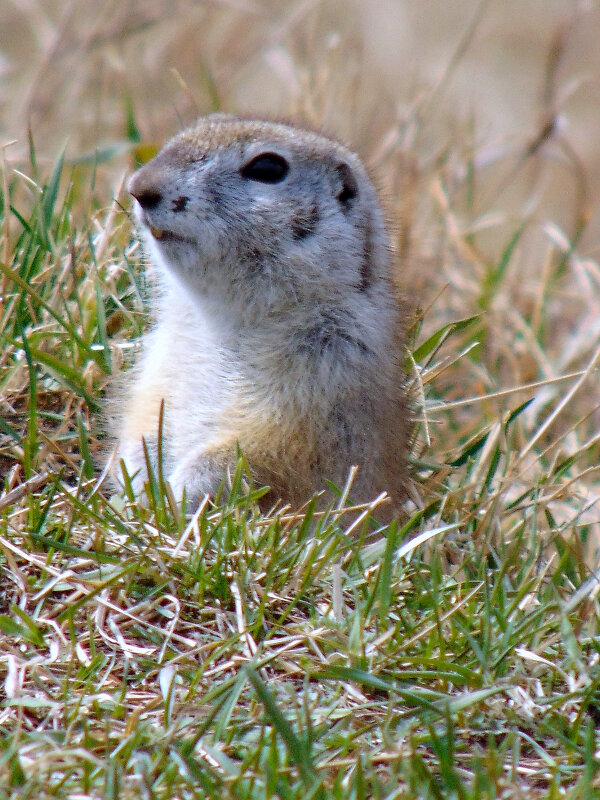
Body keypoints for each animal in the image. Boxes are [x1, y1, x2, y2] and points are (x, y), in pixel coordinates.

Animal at [112, 114, 410, 520]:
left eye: (267, 168)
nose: (139, 188)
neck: (227, 317)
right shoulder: (159, 365)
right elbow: (143, 421)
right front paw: (133, 482)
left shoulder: (323, 382)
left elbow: (255, 456)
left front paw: (177, 495)